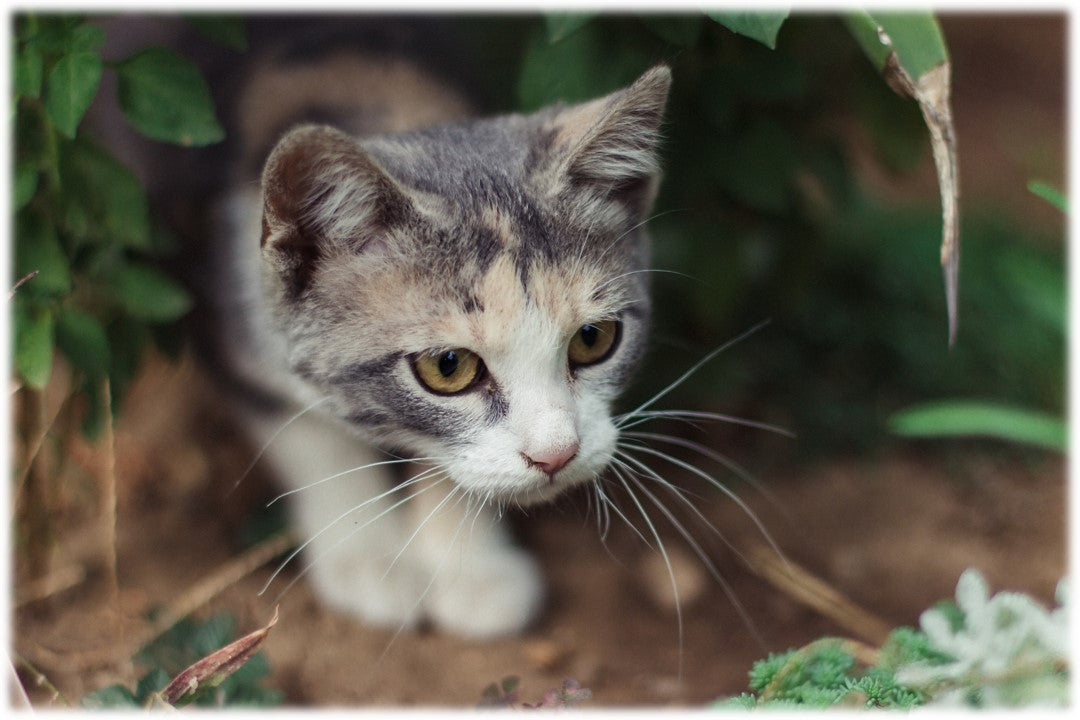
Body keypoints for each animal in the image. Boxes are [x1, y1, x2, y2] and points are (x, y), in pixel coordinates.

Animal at [207, 49, 669, 634]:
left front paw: (471, 571)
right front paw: (370, 559)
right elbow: (311, 436)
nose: (557, 455)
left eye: (594, 338)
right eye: (448, 367)